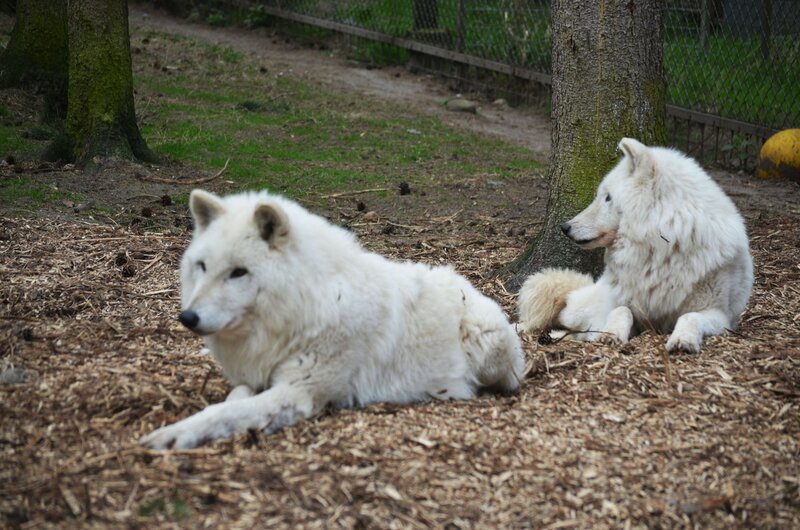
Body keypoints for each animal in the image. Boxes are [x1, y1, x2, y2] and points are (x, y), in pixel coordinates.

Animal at [141, 190, 524, 449]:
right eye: (202, 266)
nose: (187, 317)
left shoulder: (298, 392)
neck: (303, 308)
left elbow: (221, 413)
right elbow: (232, 401)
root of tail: (470, 285)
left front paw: (171, 434)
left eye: (238, 272)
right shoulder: (255, 375)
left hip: (487, 350)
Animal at [517, 138, 753, 353]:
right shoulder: (627, 306)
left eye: (607, 198)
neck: (662, 251)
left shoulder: (718, 314)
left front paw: (682, 340)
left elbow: (689, 316)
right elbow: (622, 310)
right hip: (582, 308)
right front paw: (611, 334)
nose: (565, 227)